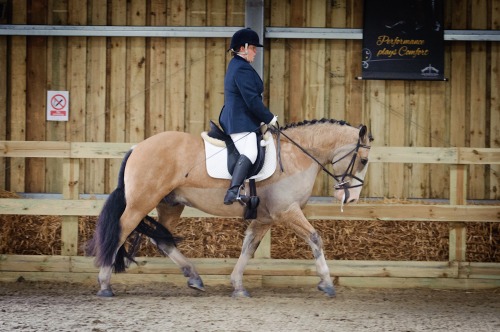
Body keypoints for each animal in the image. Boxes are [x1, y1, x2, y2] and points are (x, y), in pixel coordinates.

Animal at [86, 118, 374, 298]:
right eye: (363, 160)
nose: (350, 199)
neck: (297, 156)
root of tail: (137, 147)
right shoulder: (287, 211)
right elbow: (315, 238)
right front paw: (326, 283)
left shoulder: (265, 218)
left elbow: (249, 247)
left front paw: (237, 286)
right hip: (140, 203)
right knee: (121, 231)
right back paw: (104, 284)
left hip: (170, 204)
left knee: (163, 240)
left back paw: (194, 277)